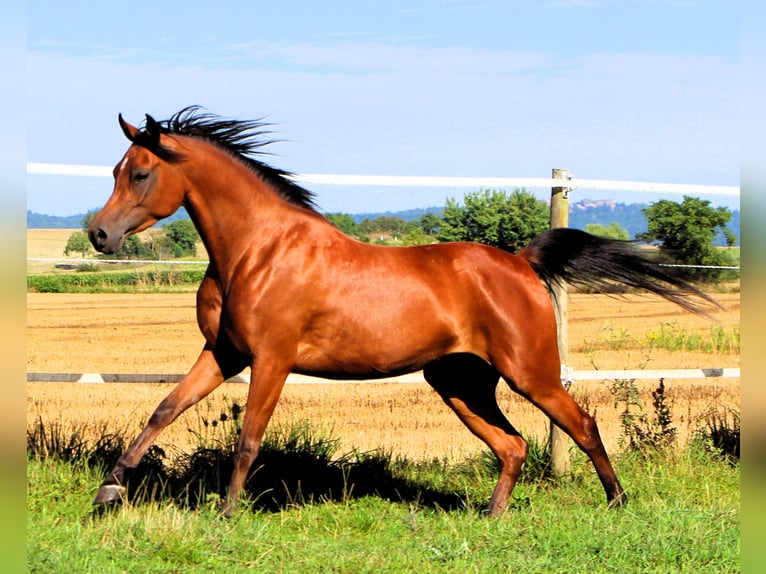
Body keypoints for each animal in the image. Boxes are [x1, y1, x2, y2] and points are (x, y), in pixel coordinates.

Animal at [88, 106, 719, 517]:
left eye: (140, 172)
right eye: (115, 170)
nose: (98, 234)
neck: (256, 251)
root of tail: (520, 262)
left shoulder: (272, 359)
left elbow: (249, 437)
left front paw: (225, 515)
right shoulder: (223, 353)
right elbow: (164, 409)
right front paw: (110, 491)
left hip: (529, 372)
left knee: (581, 424)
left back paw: (618, 503)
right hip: (461, 382)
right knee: (511, 445)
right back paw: (492, 518)